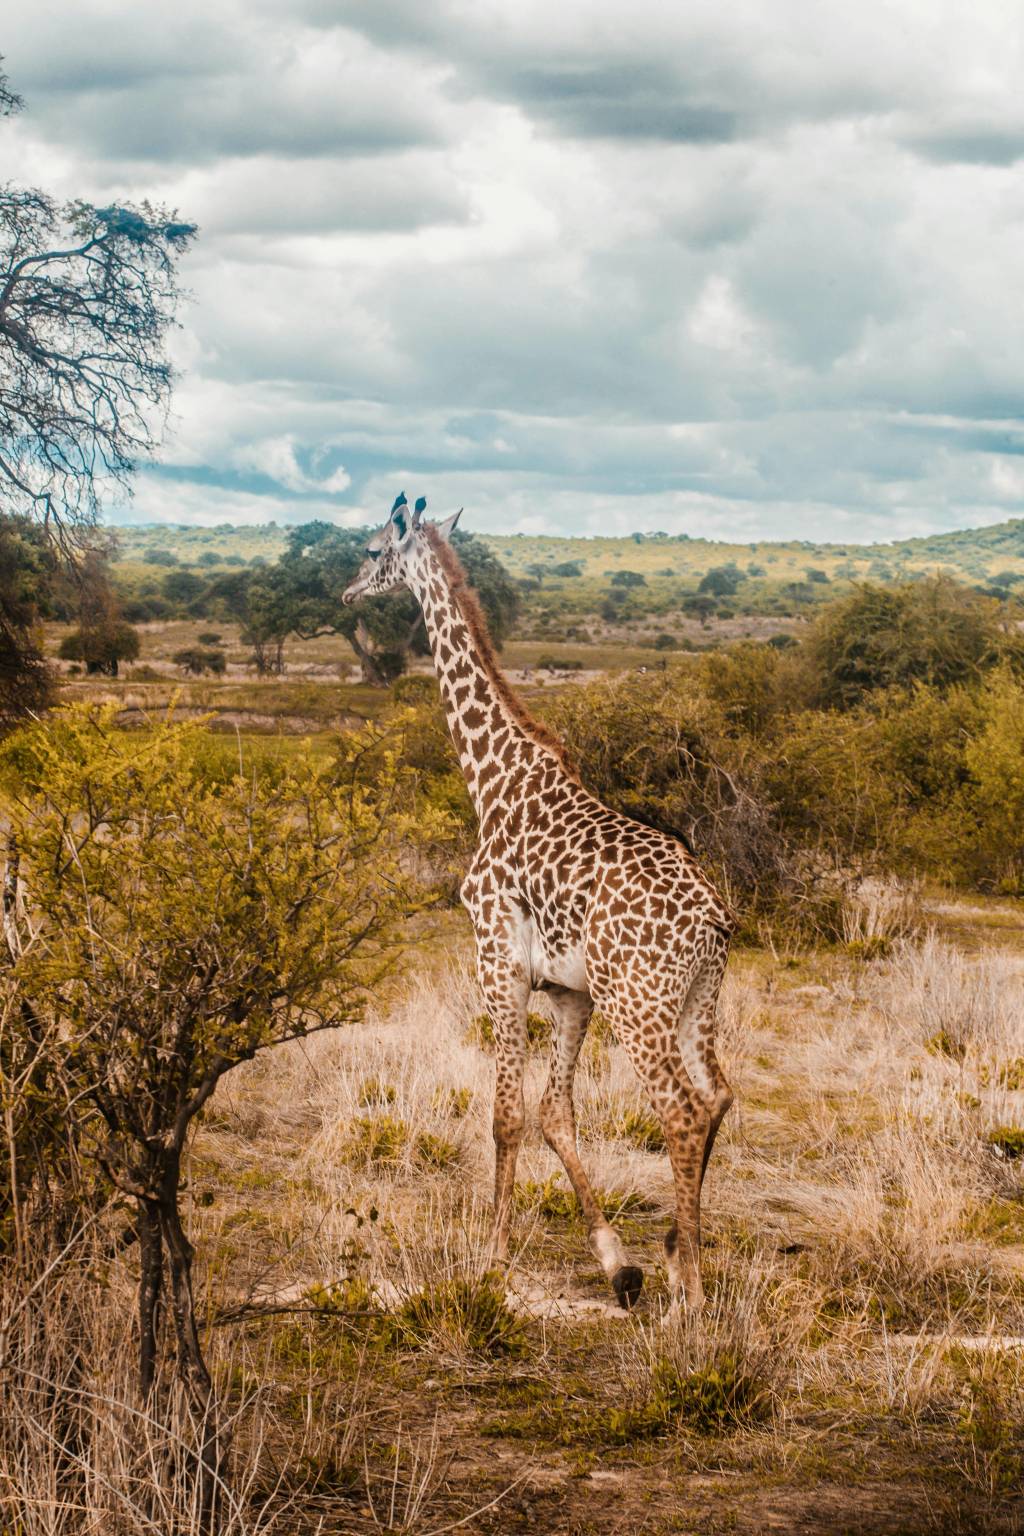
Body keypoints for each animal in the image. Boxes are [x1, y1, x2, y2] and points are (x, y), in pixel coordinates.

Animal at [343, 494, 736, 1308]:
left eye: (370, 550)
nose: (345, 592)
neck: (492, 779)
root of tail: (712, 920)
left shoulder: (497, 962)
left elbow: (506, 1115)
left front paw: (491, 1261)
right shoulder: (567, 992)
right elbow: (557, 1114)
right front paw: (617, 1261)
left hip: (638, 1002)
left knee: (681, 1110)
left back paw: (689, 1288)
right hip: (695, 998)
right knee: (718, 1096)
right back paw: (678, 1248)